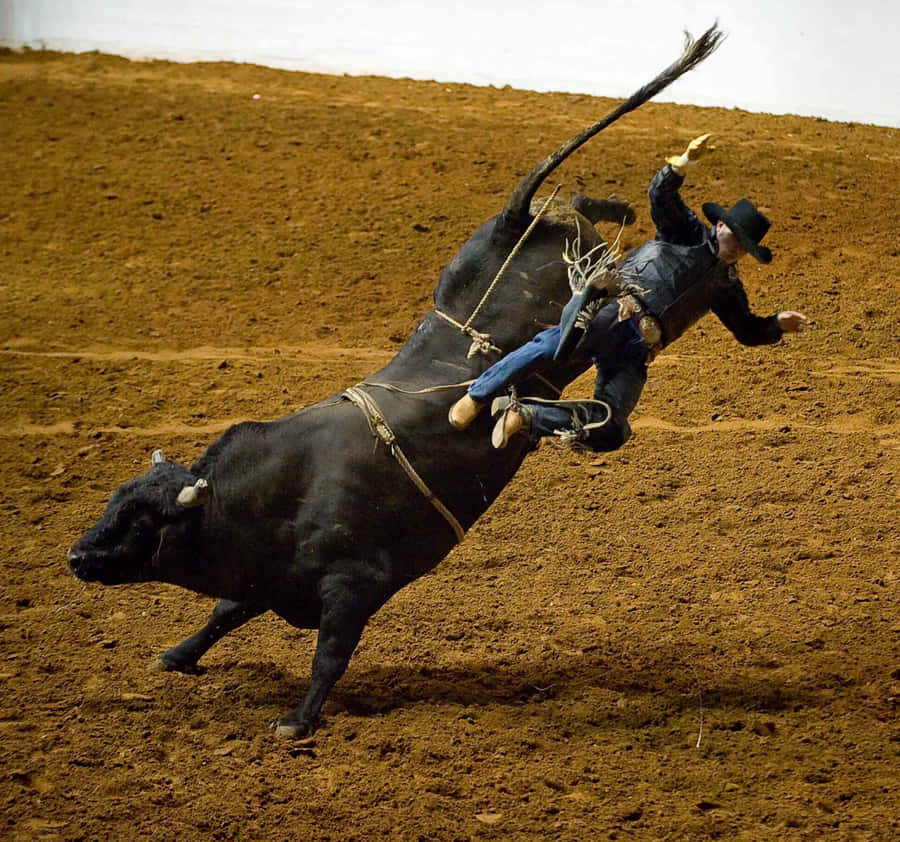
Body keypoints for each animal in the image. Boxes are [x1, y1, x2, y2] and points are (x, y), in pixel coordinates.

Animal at [67, 26, 723, 738]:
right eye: (112, 502)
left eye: (140, 520)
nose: (76, 555)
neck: (263, 497)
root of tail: (509, 218)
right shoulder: (269, 578)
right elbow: (226, 611)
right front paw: (178, 655)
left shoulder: (354, 585)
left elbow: (329, 653)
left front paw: (298, 722)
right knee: (576, 204)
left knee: (580, 223)